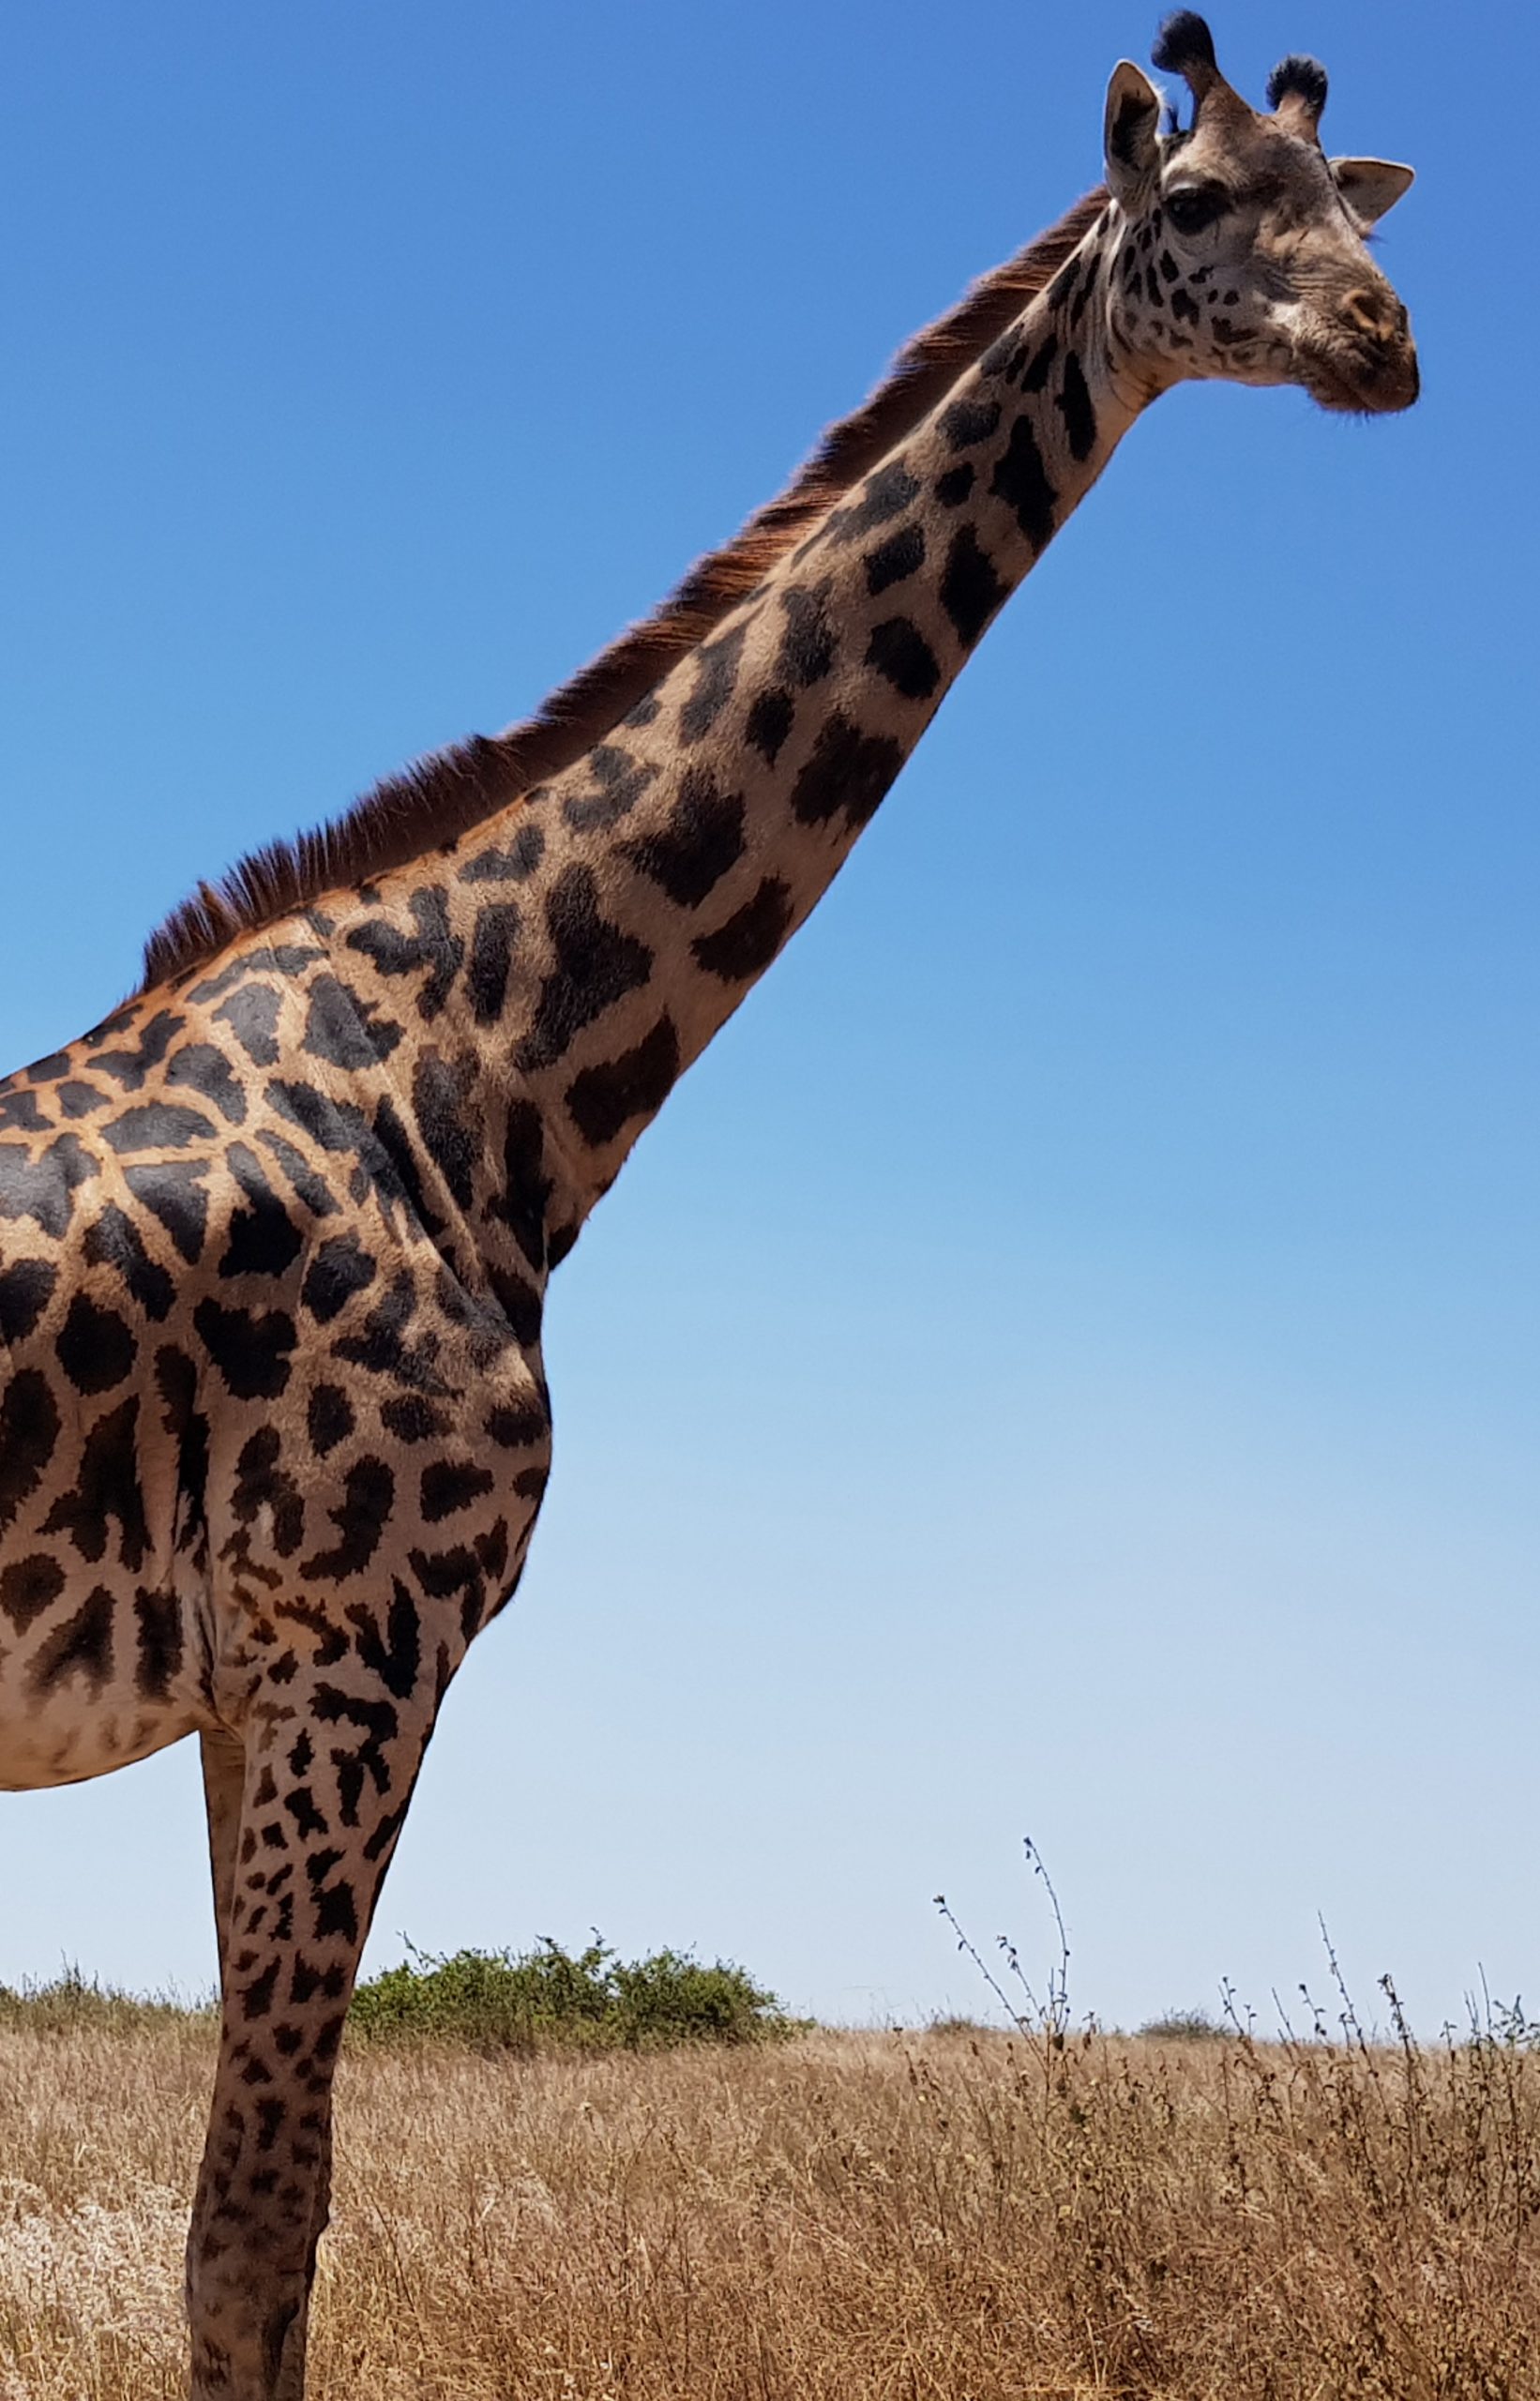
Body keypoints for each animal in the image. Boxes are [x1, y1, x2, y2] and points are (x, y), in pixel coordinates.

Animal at [3, 23, 1422, 2401]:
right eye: (1195, 205)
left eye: (1356, 204)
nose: (1386, 343)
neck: (482, 1075)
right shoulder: (349, 1636)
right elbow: (255, 2231)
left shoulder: (260, 1677)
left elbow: (264, 2219)